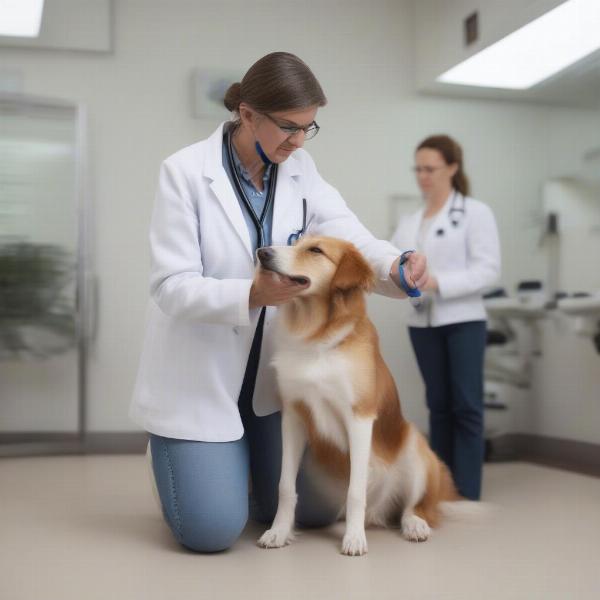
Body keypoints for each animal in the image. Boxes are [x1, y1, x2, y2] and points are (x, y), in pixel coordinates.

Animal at [255, 237, 462, 556]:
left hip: (417, 449)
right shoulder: (293, 416)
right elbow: (285, 486)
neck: (318, 339)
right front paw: (278, 532)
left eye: (315, 250)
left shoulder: (360, 418)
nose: (262, 253)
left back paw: (414, 525)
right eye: (296, 242)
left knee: (413, 507)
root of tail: (380, 509)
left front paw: (354, 538)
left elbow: (355, 491)